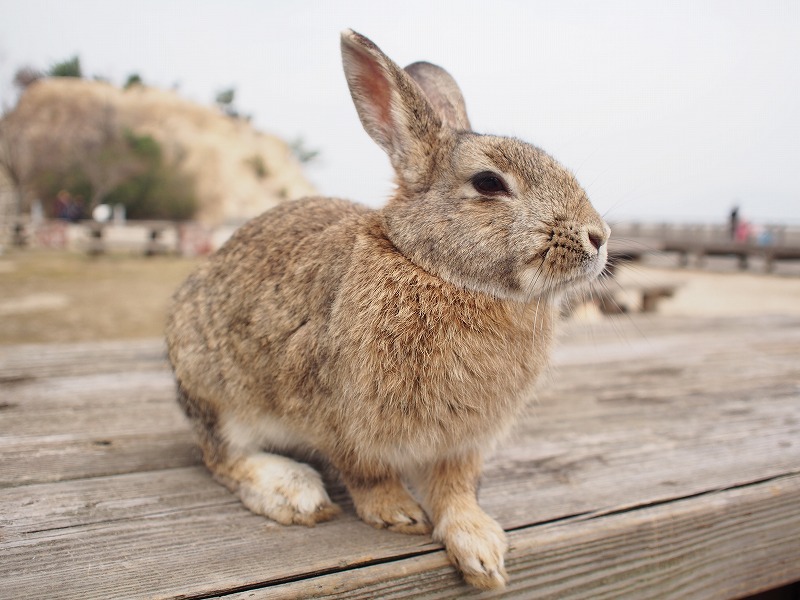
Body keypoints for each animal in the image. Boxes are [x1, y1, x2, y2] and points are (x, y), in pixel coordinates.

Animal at [166, 29, 608, 592]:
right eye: (489, 183)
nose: (599, 237)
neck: (436, 270)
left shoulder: (462, 443)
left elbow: (456, 490)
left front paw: (481, 551)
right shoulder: (339, 419)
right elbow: (367, 473)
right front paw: (397, 513)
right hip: (214, 387)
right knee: (221, 456)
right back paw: (295, 492)